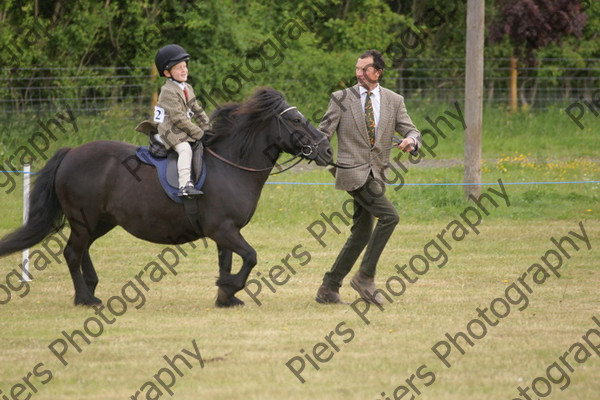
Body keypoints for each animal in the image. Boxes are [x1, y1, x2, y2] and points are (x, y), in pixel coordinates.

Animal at [0, 87, 332, 306]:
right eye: (297, 121)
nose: (328, 150)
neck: (231, 164)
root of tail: (71, 153)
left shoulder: (225, 231)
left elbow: (227, 261)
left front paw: (225, 296)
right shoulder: (223, 229)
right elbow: (250, 257)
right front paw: (229, 288)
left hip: (101, 222)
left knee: (82, 252)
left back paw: (92, 288)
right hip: (84, 220)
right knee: (72, 253)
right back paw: (85, 299)